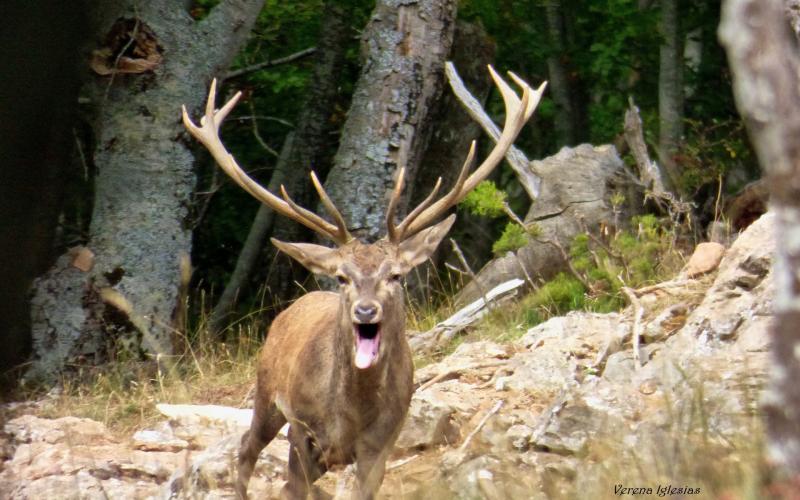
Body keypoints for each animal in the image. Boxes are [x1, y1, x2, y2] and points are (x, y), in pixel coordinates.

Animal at [181, 67, 544, 500]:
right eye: (342, 276)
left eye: (396, 275)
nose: (366, 310)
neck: (348, 416)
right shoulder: (302, 429)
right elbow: (292, 484)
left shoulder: (382, 444)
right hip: (267, 391)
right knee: (246, 449)